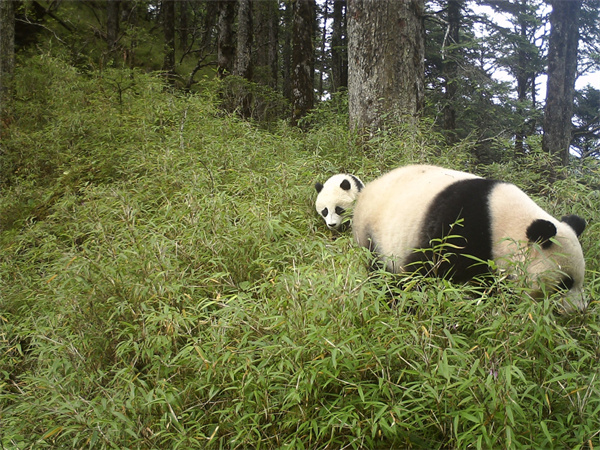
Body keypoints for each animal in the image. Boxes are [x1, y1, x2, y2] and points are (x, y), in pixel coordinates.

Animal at [352, 164, 584, 312]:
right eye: (565, 283)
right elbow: (423, 271)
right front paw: (407, 304)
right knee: (377, 268)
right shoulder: (458, 226)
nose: (579, 310)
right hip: (372, 232)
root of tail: (368, 189)